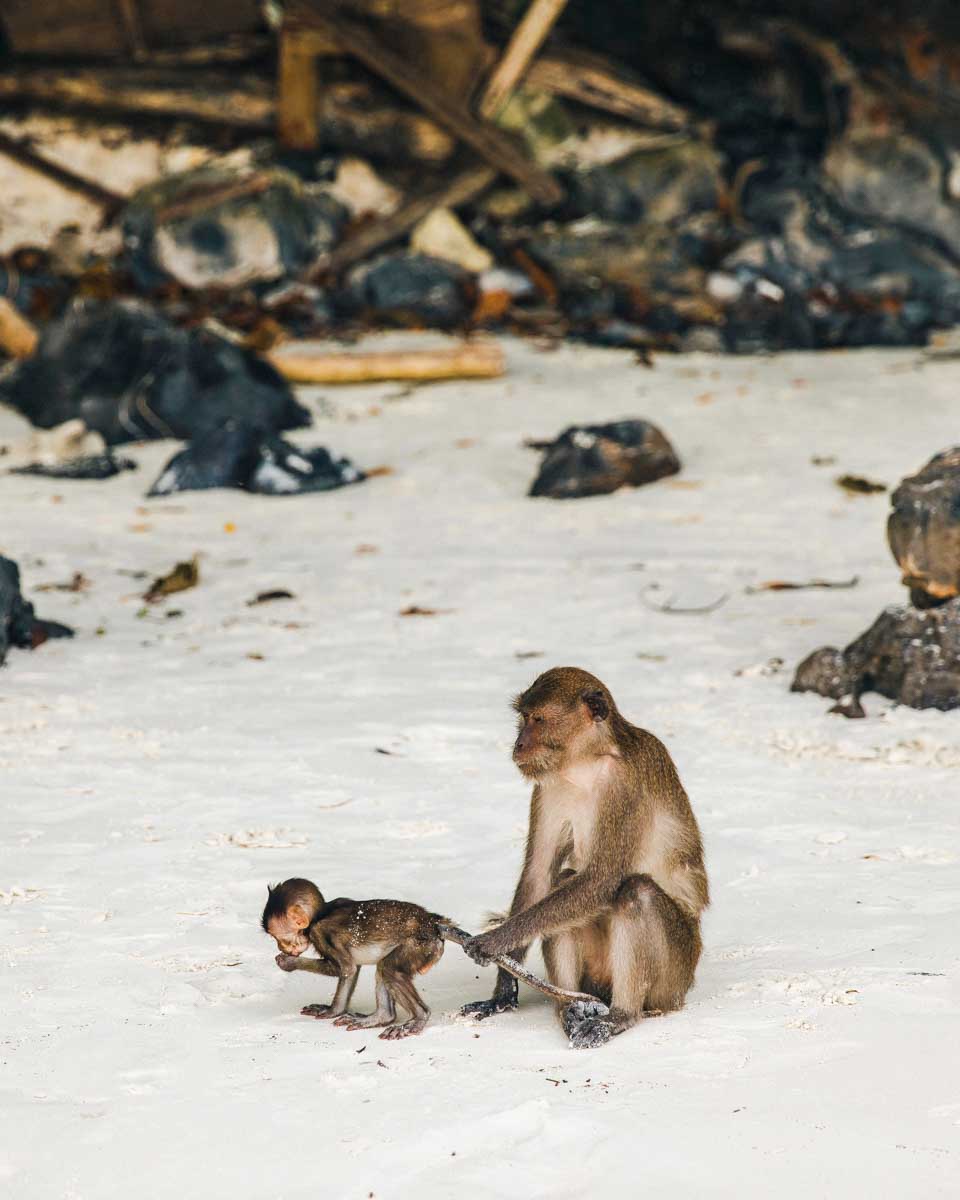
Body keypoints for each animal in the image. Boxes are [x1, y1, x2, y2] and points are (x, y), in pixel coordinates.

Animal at [261, 878, 445, 1040]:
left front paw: (288, 963)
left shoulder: (319, 932)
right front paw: (334, 1010)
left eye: (279, 938)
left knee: (389, 969)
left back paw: (418, 1018)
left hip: (420, 945)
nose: (280, 947)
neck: (321, 914)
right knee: (383, 967)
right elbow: (352, 969)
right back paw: (381, 1016)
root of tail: (432, 923)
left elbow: (346, 969)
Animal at [460, 667, 709, 1049]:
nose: (519, 744)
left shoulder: (624, 785)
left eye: (537, 719)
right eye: (523, 719)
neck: (586, 762)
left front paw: (495, 940)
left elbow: (602, 879)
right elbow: (539, 875)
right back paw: (570, 1007)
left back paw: (621, 1016)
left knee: (637, 892)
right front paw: (503, 990)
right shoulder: (547, 786)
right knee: (562, 884)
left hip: (675, 978)